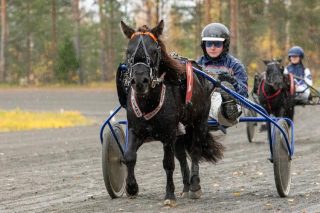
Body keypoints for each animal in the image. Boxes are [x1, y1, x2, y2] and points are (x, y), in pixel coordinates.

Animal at [117, 20, 222, 206]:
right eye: (128, 50)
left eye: (154, 50)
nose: (140, 81)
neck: (148, 102)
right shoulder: (136, 130)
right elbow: (129, 156)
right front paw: (131, 187)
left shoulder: (168, 134)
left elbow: (168, 163)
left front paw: (169, 195)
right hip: (181, 132)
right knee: (182, 156)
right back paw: (186, 187)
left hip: (199, 122)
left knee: (195, 150)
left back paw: (194, 186)